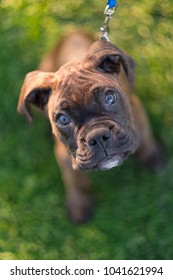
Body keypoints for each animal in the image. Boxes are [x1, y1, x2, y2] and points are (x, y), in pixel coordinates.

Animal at [16, 31, 163, 223]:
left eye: (109, 98)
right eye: (63, 119)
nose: (98, 136)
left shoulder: (139, 118)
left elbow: (146, 139)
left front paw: (153, 159)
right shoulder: (65, 157)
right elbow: (74, 180)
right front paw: (79, 204)